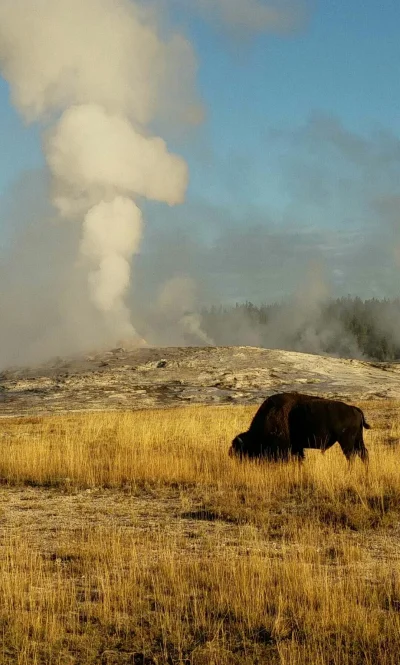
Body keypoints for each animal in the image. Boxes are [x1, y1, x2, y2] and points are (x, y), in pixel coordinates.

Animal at [230, 392, 370, 464]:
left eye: (241, 451)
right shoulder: (297, 447)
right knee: (363, 453)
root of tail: (353, 408)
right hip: (357, 439)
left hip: (346, 441)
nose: (236, 461)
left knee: (351, 456)